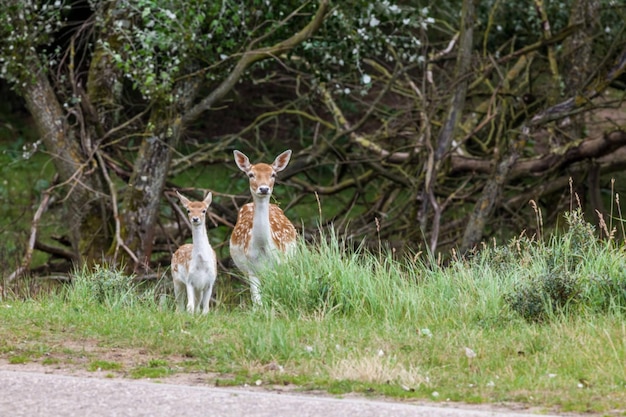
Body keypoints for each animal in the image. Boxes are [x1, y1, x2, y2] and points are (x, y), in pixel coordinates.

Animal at [229, 149, 298, 302]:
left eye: (273, 174)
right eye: (251, 174)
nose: (264, 188)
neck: (262, 246)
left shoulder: (280, 264)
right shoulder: (251, 269)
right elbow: (257, 302)